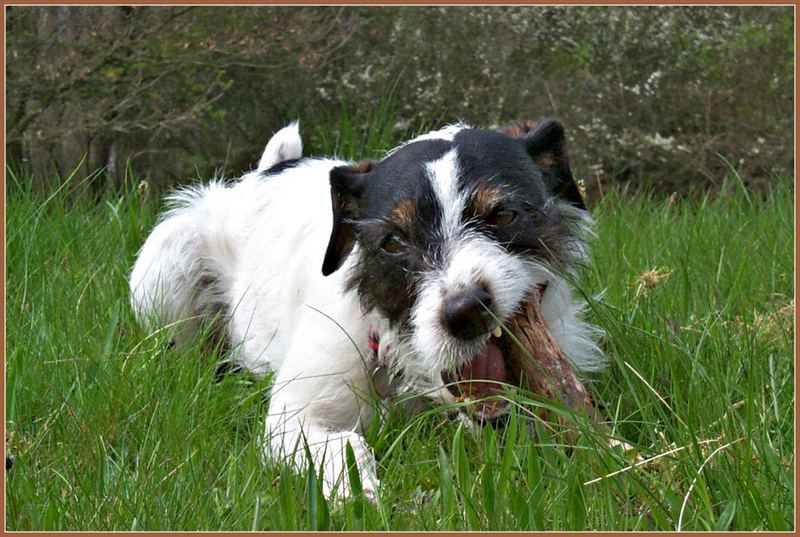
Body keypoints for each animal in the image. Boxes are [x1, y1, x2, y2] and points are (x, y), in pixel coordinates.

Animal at [131, 119, 604, 500]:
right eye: (393, 241)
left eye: (504, 214)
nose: (465, 310)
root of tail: (266, 170)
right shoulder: (293, 417)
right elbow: (342, 445)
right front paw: (357, 495)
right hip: (164, 267)